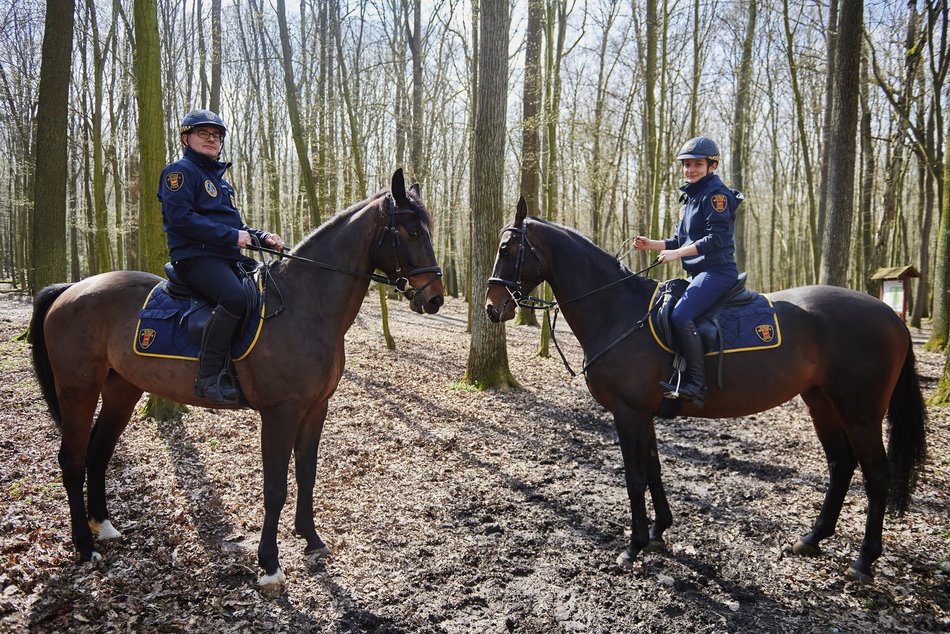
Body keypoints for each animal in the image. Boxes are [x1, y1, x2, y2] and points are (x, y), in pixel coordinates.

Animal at [28, 168, 446, 588]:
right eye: (412, 231)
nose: (435, 299)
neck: (304, 305)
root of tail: (72, 288)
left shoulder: (316, 409)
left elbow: (307, 474)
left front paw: (311, 539)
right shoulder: (280, 413)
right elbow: (275, 487)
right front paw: (270, 564)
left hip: (121, 389)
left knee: (98, 452)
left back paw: (104, 527)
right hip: (78, 390)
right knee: (72, 460)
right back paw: (84, 546)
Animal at [488, 200, 924, 580]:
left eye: (507, 248)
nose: (493, 307)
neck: (619, 312)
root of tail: (891, 317)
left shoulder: (628, 412)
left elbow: (634, 476)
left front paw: (634, 545)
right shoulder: (644, 413)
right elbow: (653, 469)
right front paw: (659, 530)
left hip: (861, 411)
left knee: (876, 475)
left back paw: (864, 560)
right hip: (823, 402)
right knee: (840, 465)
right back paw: (812, 539)